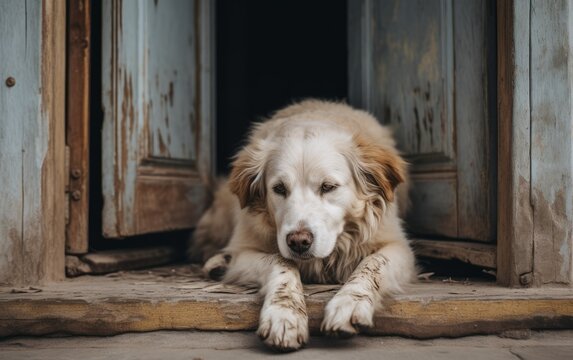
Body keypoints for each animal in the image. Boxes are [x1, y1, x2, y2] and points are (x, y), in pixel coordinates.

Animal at [189, 99, 416, 352]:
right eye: (279, 188)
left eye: (328, 187)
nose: (298, 242)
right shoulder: (245, 251)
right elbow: (280, 262)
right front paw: (284, 314)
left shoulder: (398, 247)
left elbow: (372, 264)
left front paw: (349, 303)